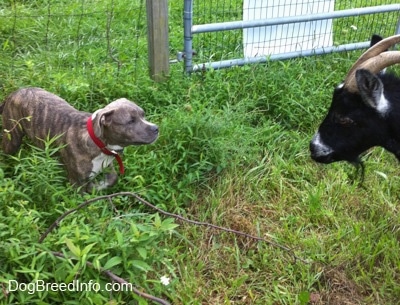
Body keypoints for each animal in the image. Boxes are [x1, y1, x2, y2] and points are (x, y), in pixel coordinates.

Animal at [0, 86, 159, 190]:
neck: (98, 142)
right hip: (12, 139)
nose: (156, 128)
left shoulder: (107, 165)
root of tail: (14, 93)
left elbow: (112, 178)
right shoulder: (76, 182)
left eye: (143, 115)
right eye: (131, 121)